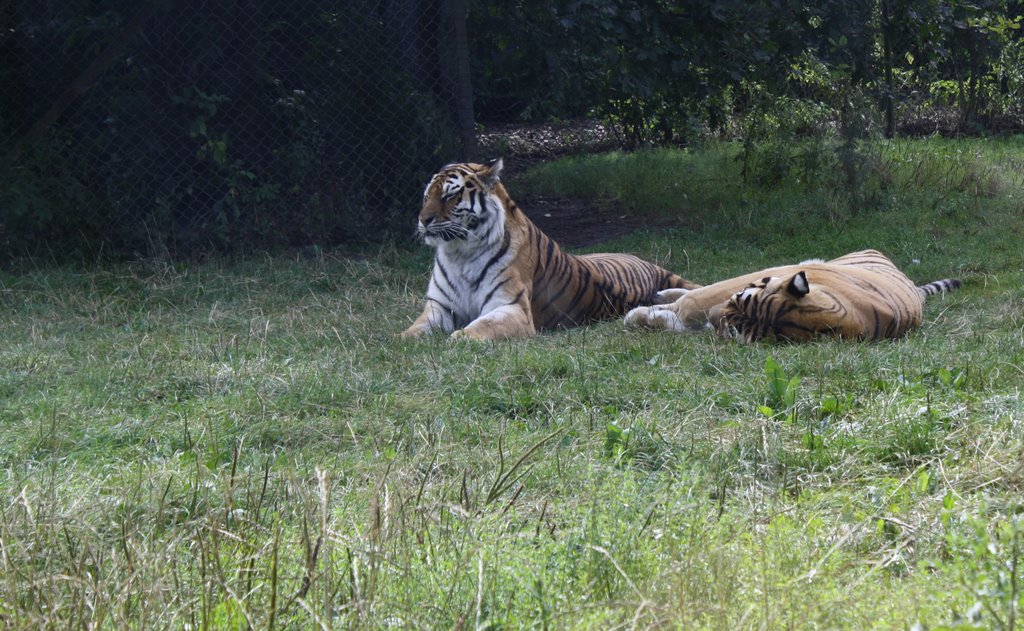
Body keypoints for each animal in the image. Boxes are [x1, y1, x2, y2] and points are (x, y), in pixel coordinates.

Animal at [399, 159, 696, 342]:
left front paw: (460, 337)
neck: (459, 254)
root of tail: (638, 258)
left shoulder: (511, 308)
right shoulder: (440, 306)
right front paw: (400, 339)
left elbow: (483, 324)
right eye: (427, 196)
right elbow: (416, 327)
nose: (423, 220)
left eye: (450, 195)